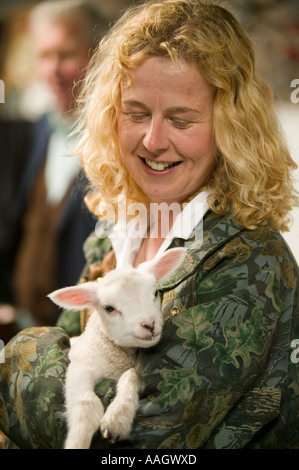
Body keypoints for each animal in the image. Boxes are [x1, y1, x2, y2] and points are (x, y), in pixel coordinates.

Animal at [49, 246, 185, 448]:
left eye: (155, 293)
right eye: (109, 308)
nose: (149, 325)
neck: (114, 360)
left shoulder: (132, 369)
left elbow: (130, 378)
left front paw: (117, 420)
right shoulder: (80, 366)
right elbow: (87, 405)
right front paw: (78, 440)